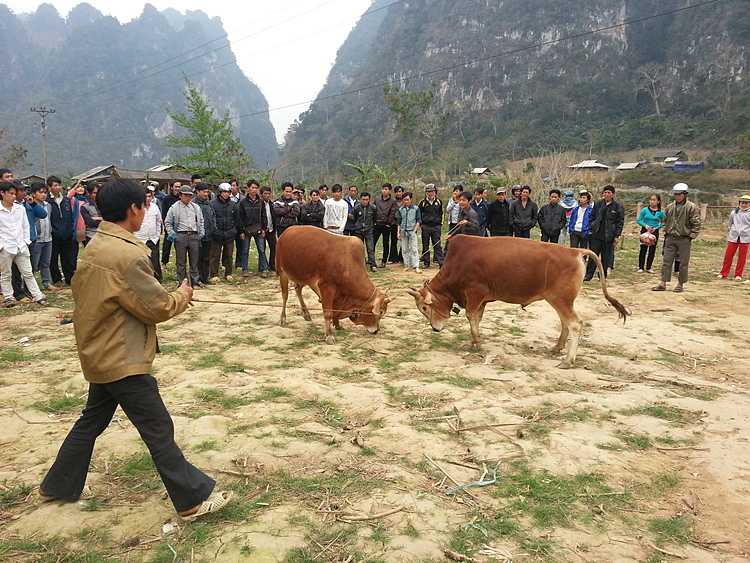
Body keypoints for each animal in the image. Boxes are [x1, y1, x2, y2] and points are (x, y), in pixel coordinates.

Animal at [408, 235, 632, 370]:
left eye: (425, 307)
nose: (435, 328)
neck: (457, 264)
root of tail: (574, 251)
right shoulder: (482, 300)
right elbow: (477, 319)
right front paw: (474, 340)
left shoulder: (474, 294)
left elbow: (470, 317)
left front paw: (474, 341)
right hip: (560, 301)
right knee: (565, 323)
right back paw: (557, 347)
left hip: (561, 300)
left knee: (575, 324)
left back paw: (568, 360)